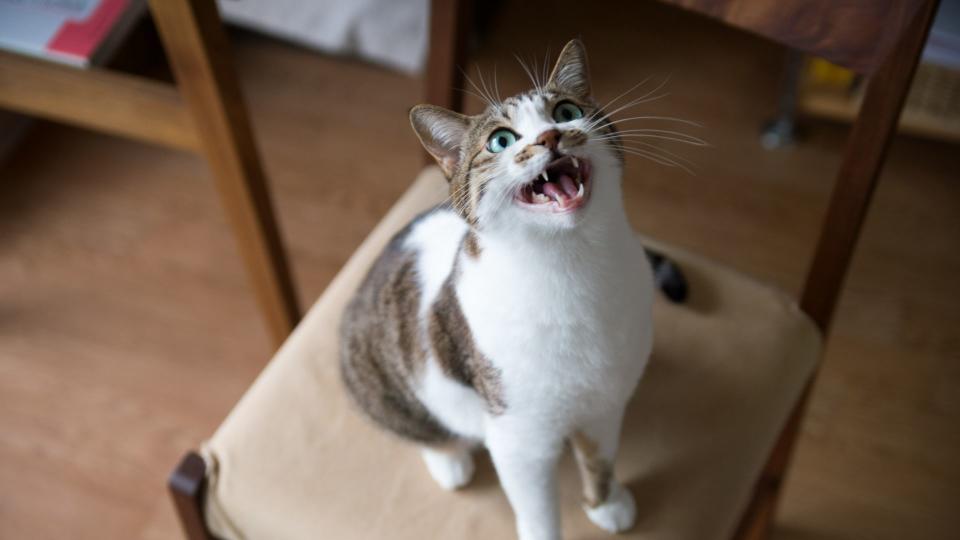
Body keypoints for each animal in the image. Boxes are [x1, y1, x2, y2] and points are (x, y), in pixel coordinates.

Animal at [338, 40, 684, 536]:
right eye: (501, 141)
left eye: (566, 111)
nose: (550, 137)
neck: (573, 265)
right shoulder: (519, 435)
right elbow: (537, 508)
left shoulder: (605, 402)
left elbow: (600, 457)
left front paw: (605, 502)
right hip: (374, 371)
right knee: (416, 425)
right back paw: (449, 460)